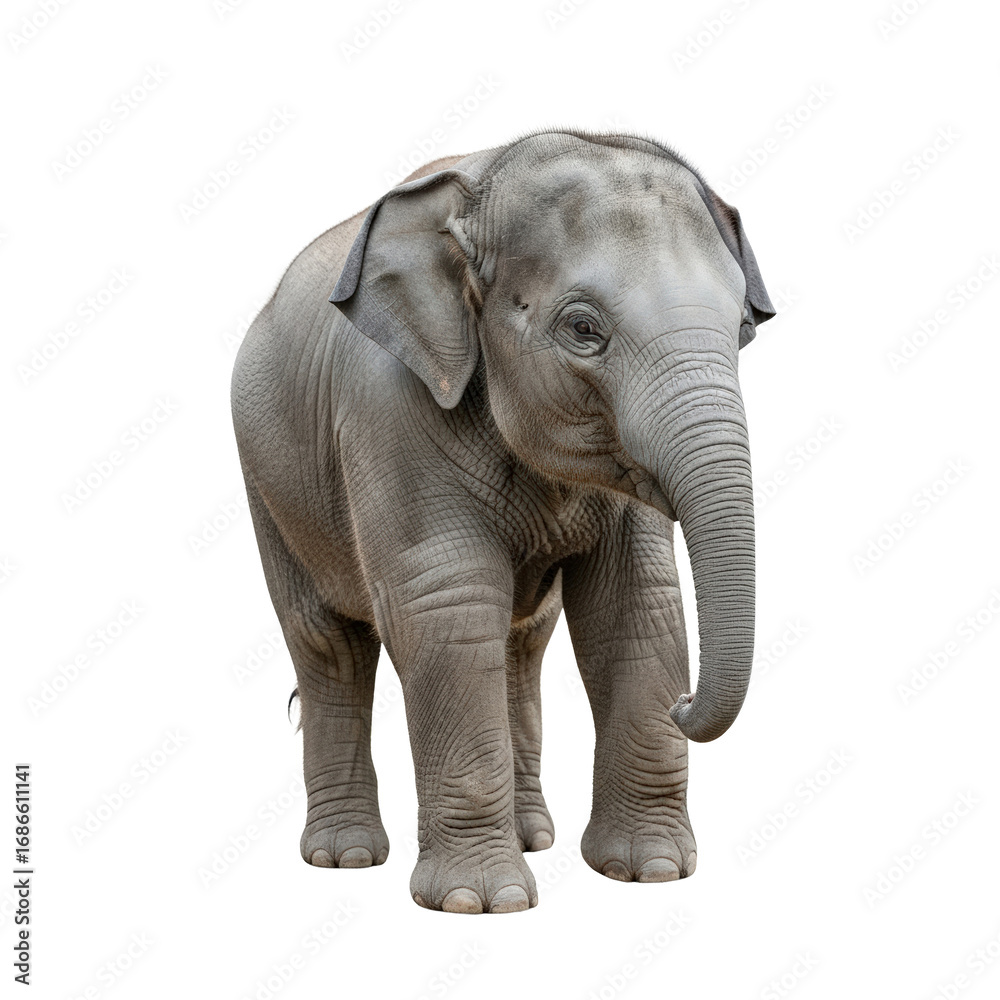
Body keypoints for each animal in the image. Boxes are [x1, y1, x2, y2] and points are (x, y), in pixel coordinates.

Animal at [230, 128, 775, 914]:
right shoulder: (385, 407)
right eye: (583, 329)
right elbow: (448, 608)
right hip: (267, 481)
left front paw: (649, 873)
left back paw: (531, 838)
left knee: (522, 644)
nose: (685, 701)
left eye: (741, 327)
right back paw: (346, 858)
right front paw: (481, 903)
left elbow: (635, 602)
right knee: (326, 643)